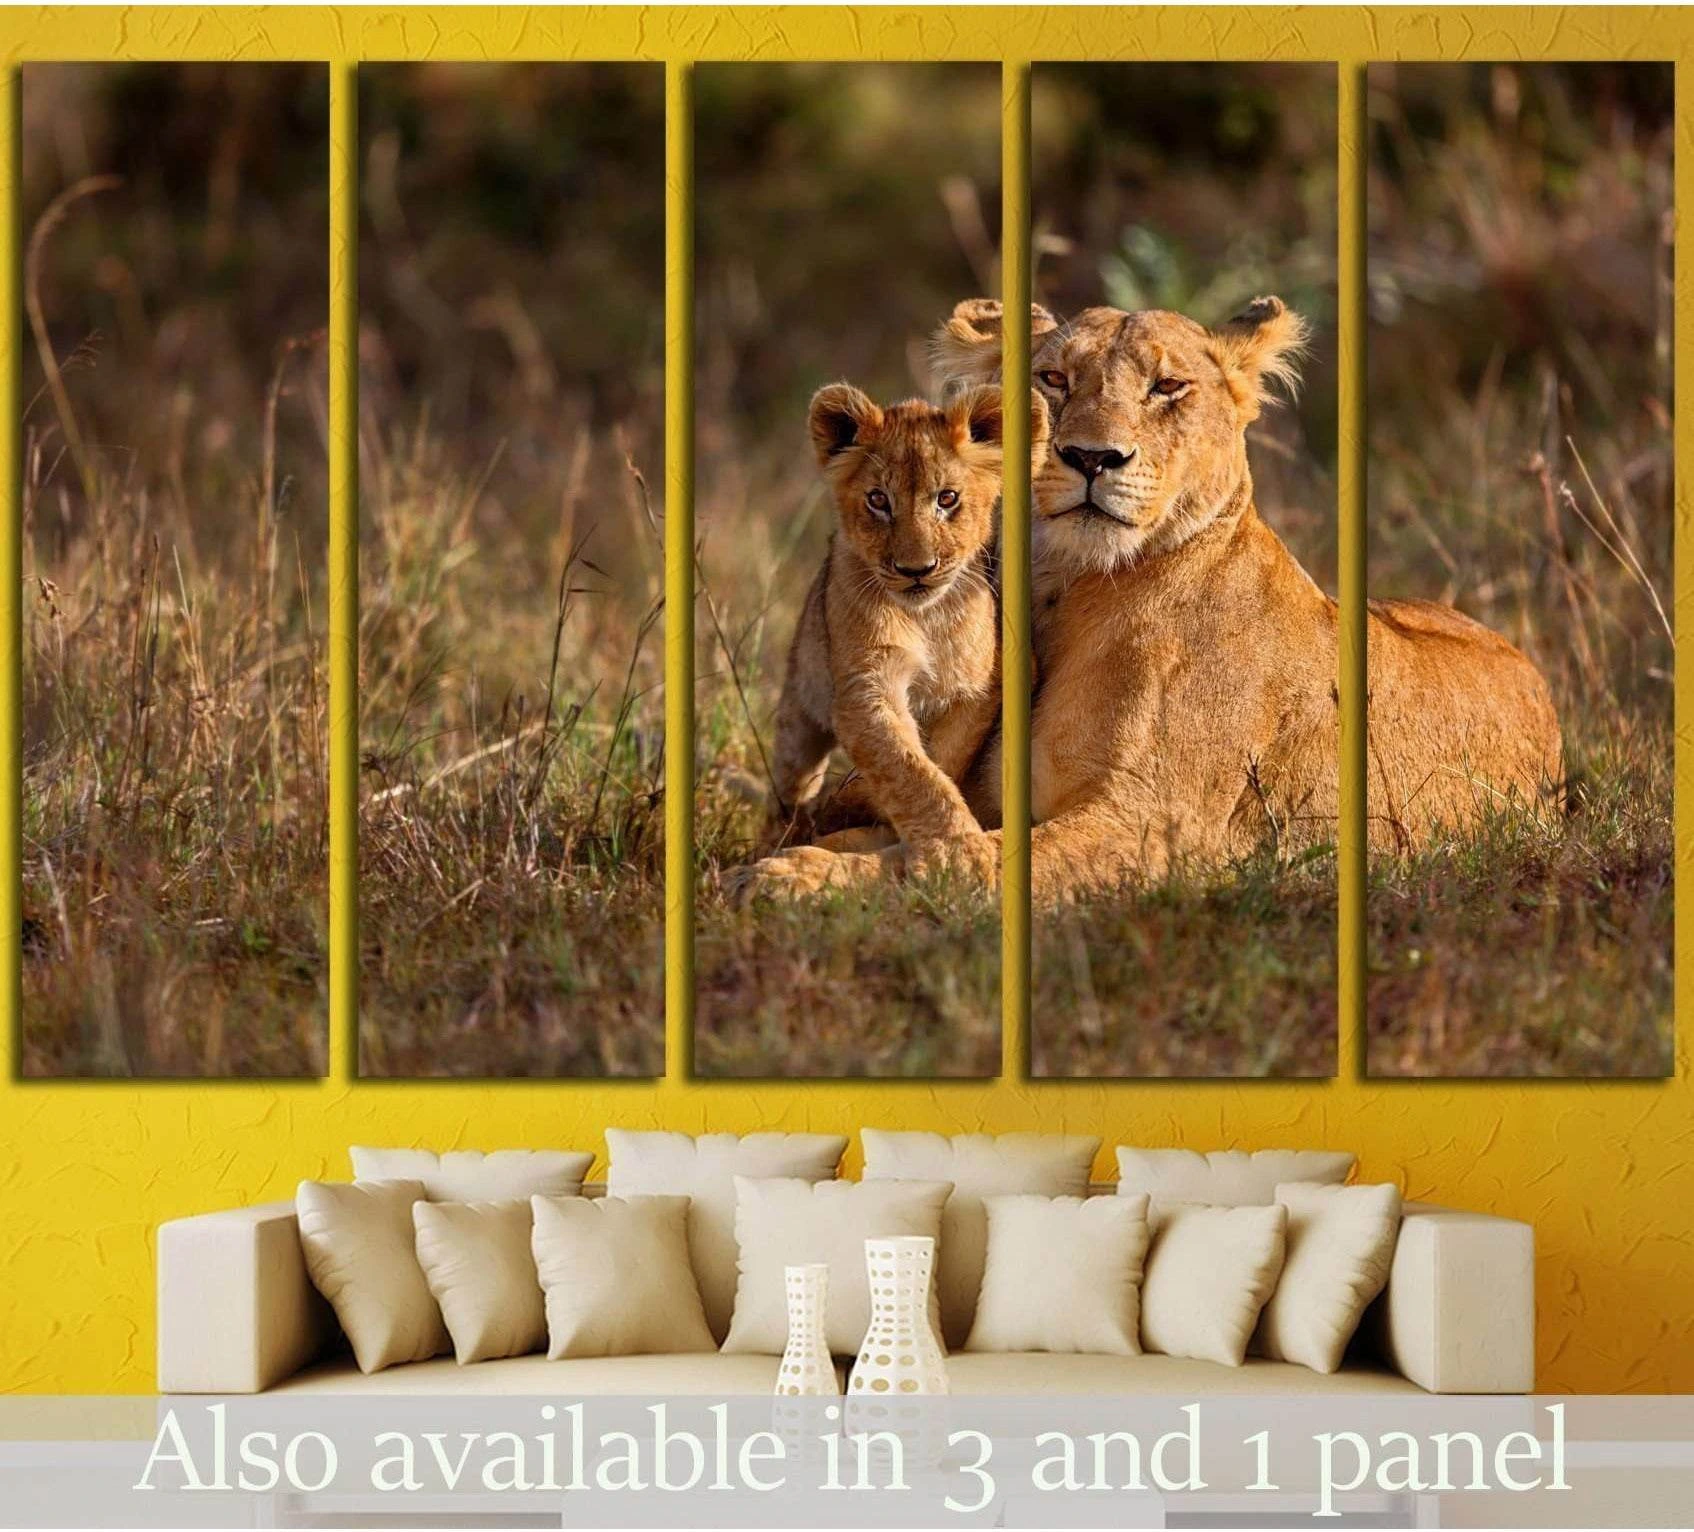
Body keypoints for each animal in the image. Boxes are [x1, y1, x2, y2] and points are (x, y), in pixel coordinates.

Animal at [765, 381, 1045, 851]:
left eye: (947, 498)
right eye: (878, 500)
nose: (917, 570)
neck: (926, 619)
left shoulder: (982, 685)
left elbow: (942, 756)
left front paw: (857, 803)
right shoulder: (865, 686)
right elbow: (907, 770)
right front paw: (959, 850)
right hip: (799, 708)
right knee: (791, 783)